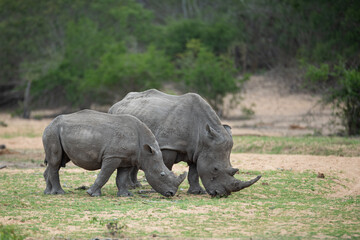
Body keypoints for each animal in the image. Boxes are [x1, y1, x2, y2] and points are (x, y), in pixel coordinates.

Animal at [43, 109, 186, 198]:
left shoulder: (127, 158)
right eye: (162, 174)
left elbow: (121, 178)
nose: (171, 193)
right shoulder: (112, 156)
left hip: (57, 131)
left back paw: (48, 192)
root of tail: (49, 123)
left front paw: (125, 195)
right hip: (53, 131)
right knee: (56, 161)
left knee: (57, 161)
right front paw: (92, 194)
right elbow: (104, 175)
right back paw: (60, 193)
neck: (146, 151)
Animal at [108, 89, 260, 196]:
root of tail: (117, 103)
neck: (203, 135)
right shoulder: (168, 146)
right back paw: (132, 187)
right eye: (215, 169)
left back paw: (135, 186)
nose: (221, 194)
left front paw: (197, 192)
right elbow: (166, 166)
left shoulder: (199, 150)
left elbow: (194, 172)